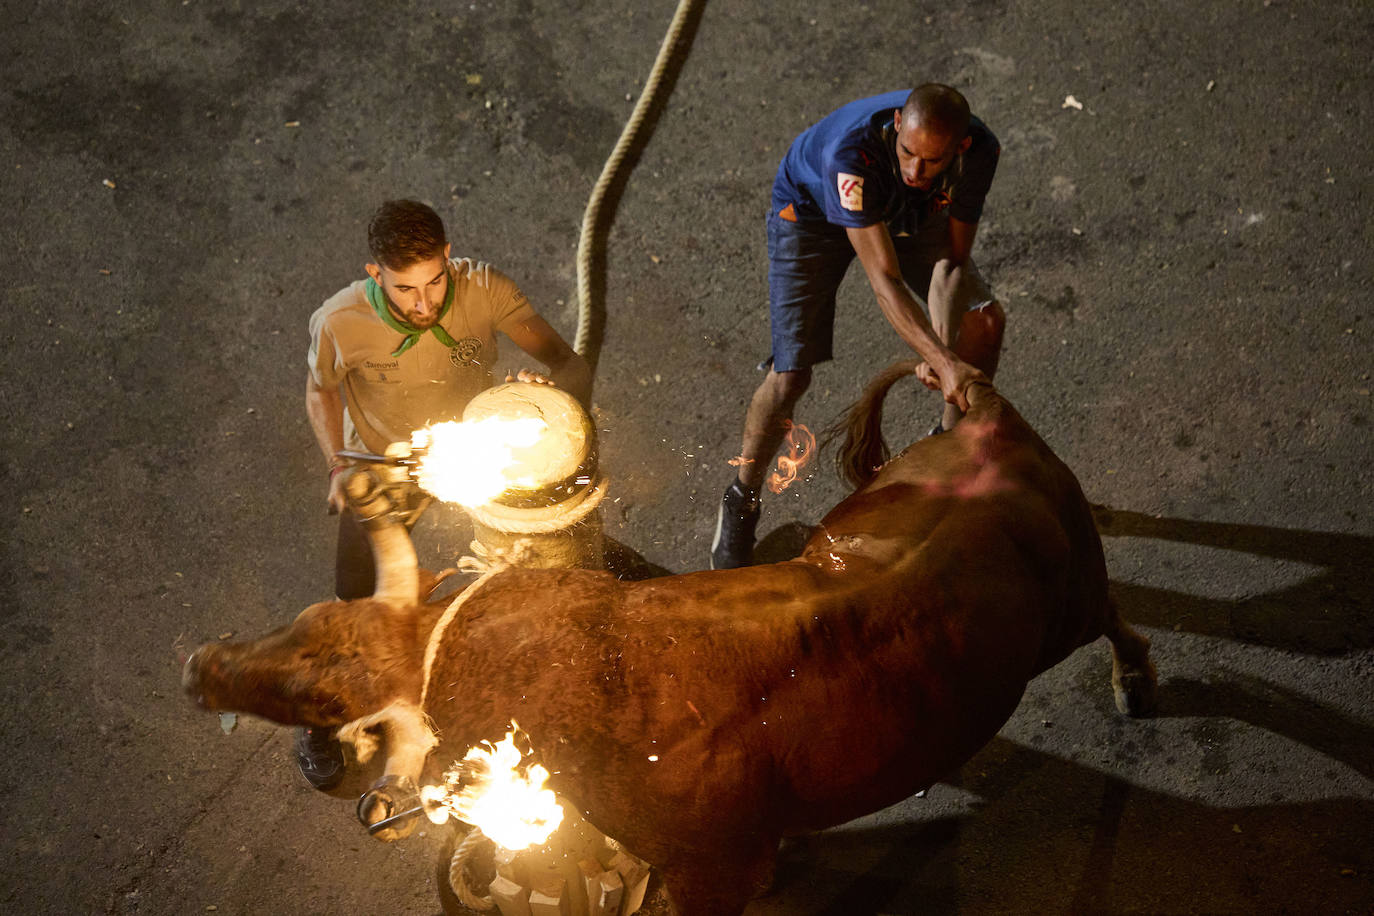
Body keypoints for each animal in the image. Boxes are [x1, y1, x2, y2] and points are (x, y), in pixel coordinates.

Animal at [179, 368, 1148, 916]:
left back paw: (1134, 675)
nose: (199, 667)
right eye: (307, 620)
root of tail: (981, 416)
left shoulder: (712, 868)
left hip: (1070, 600)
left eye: (324, 693)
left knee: (1114, 615)